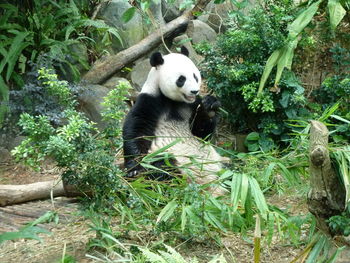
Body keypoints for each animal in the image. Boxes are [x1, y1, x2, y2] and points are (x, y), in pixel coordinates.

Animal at [122, 47, 227, 196]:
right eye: (181, 79)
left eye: (195, 76)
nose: (194, 91)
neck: (174, 101)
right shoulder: (149, 100)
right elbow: (137, 128)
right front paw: (134, 169)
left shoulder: (193, 105)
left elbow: (201, 133)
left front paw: (210, 106)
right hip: (173, 159)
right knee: (162, 168)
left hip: (218, 164)